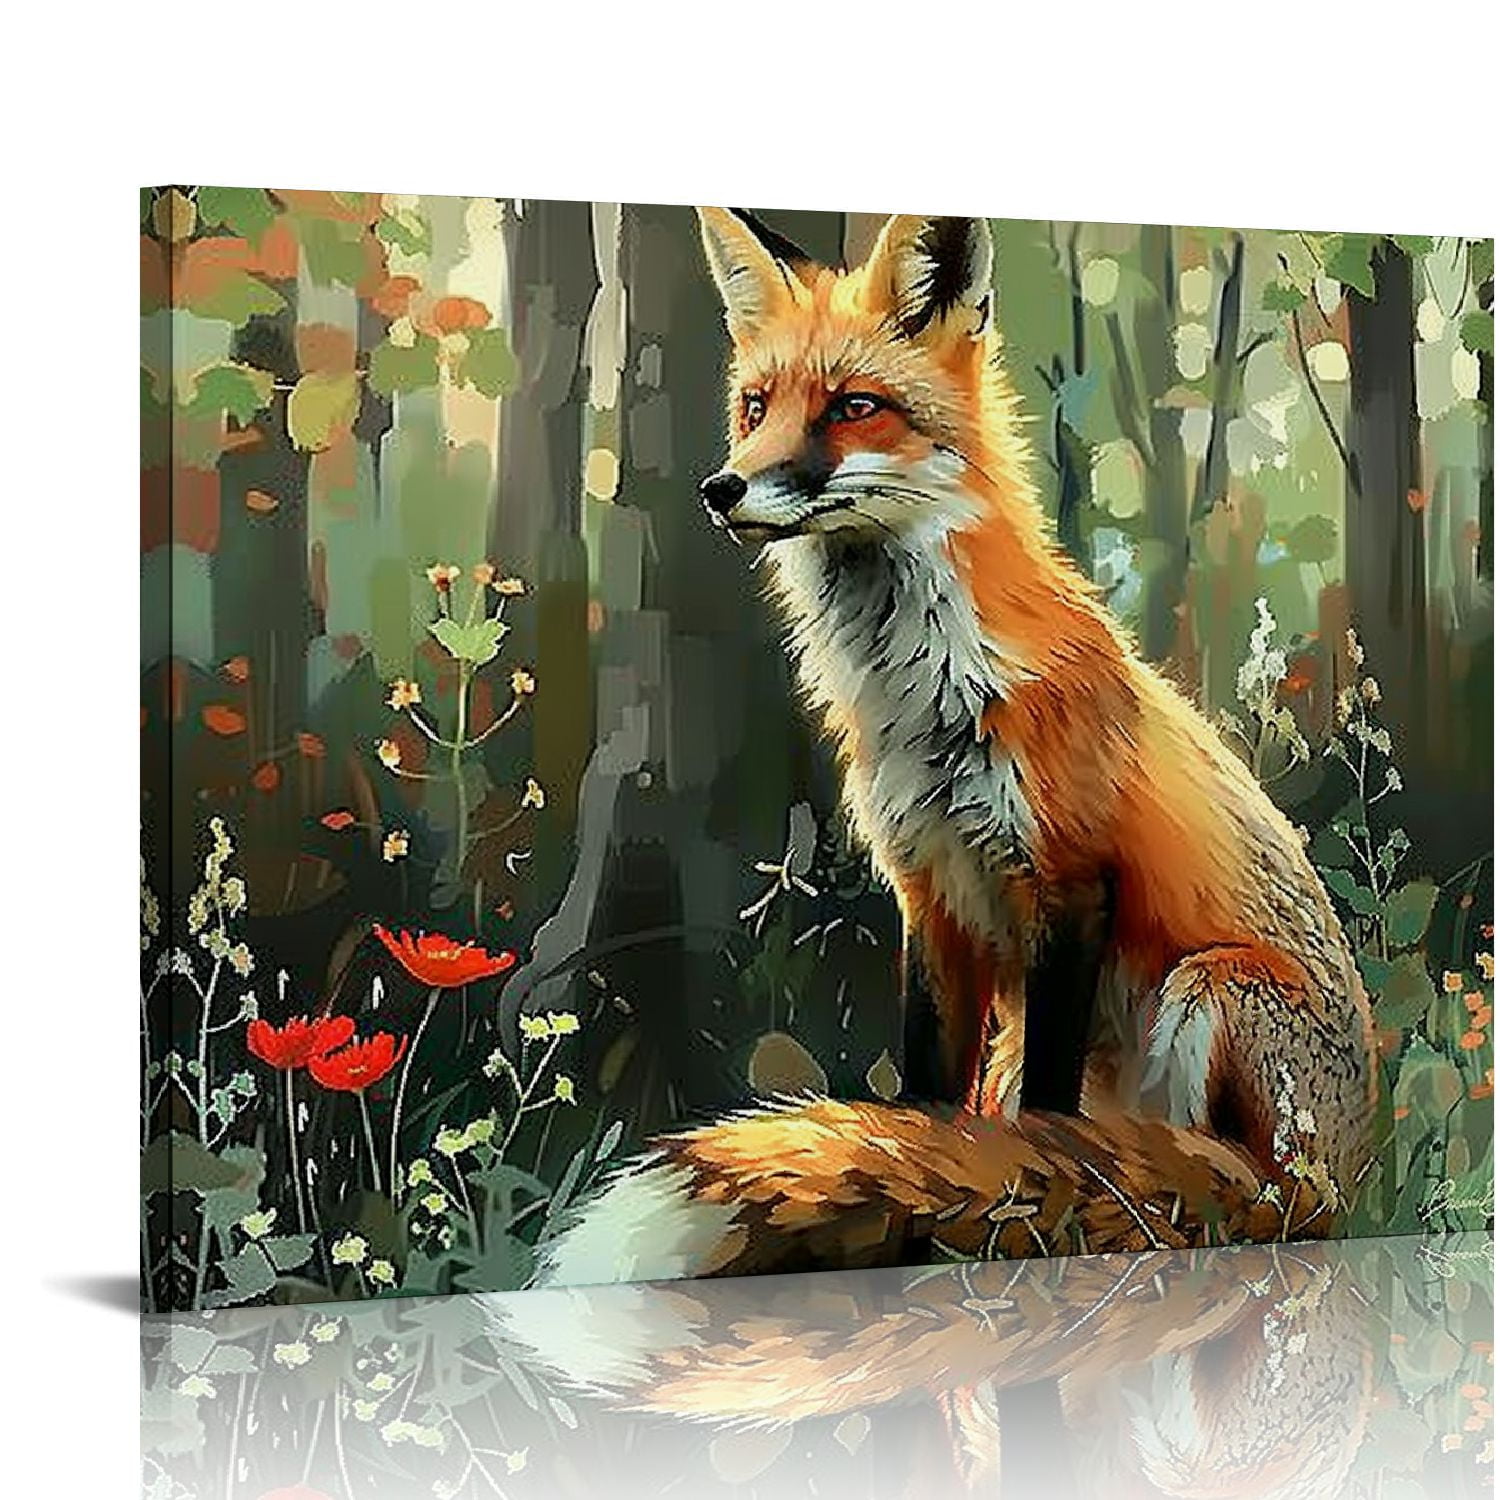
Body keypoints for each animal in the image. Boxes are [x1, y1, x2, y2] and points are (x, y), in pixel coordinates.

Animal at [534, 208, 1377, 1287]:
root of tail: (1345, 1176)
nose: (722, 488)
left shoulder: (1072, 885)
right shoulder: (929, 890)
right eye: (757, 404)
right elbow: (928, 1106)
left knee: (1214, 1187)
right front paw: (916, 1193)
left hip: (1213, 991)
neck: (925, 694)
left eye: (853, 407)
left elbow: (1047, 1125)